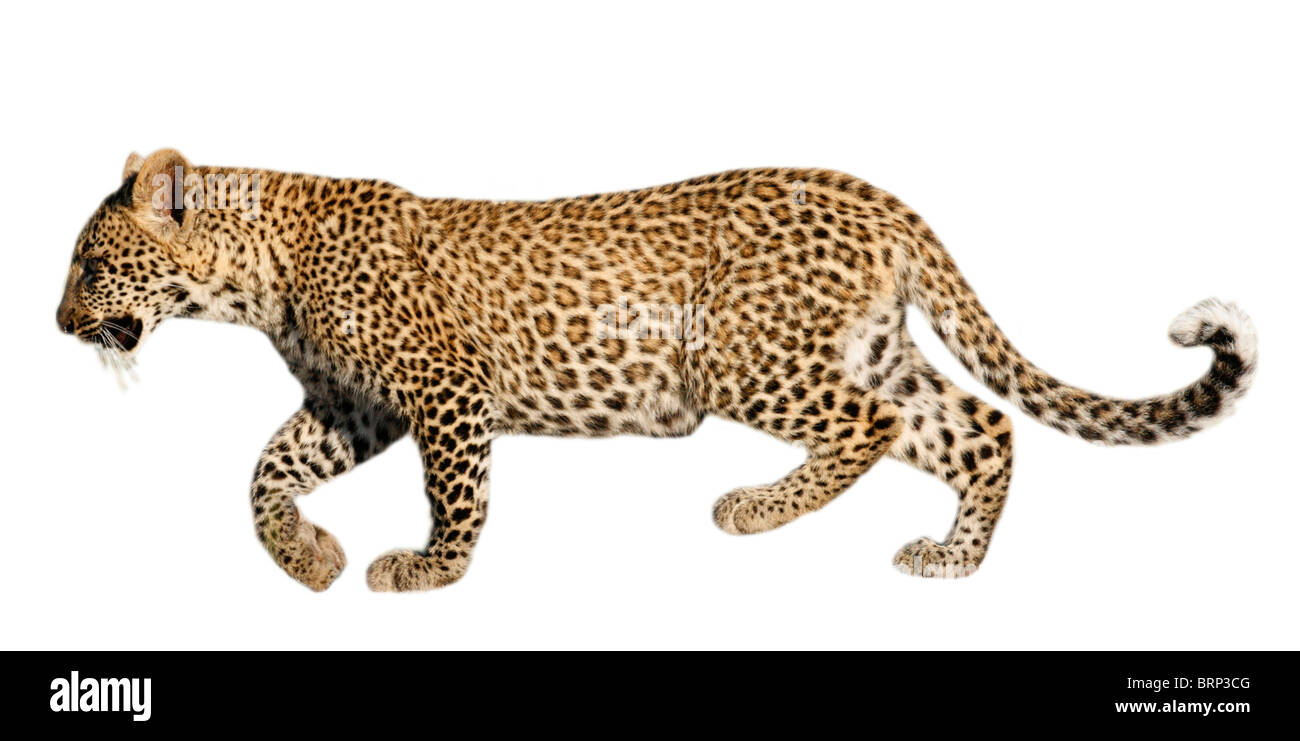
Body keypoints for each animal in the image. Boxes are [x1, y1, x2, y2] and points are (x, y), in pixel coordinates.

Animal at [55, 149, 1258, 590]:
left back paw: (754, 510)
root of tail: (874, 194)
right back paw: (952, 561)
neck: (255, 274)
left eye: (90, 263)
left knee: (869, 428)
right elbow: (264, 473)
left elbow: (456, 493)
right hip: (862, 349)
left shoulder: (442, 391)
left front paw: (430, 571)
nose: (60, 323)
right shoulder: (356, 406)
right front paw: (305, 558)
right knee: (977, 427)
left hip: (744, 355)